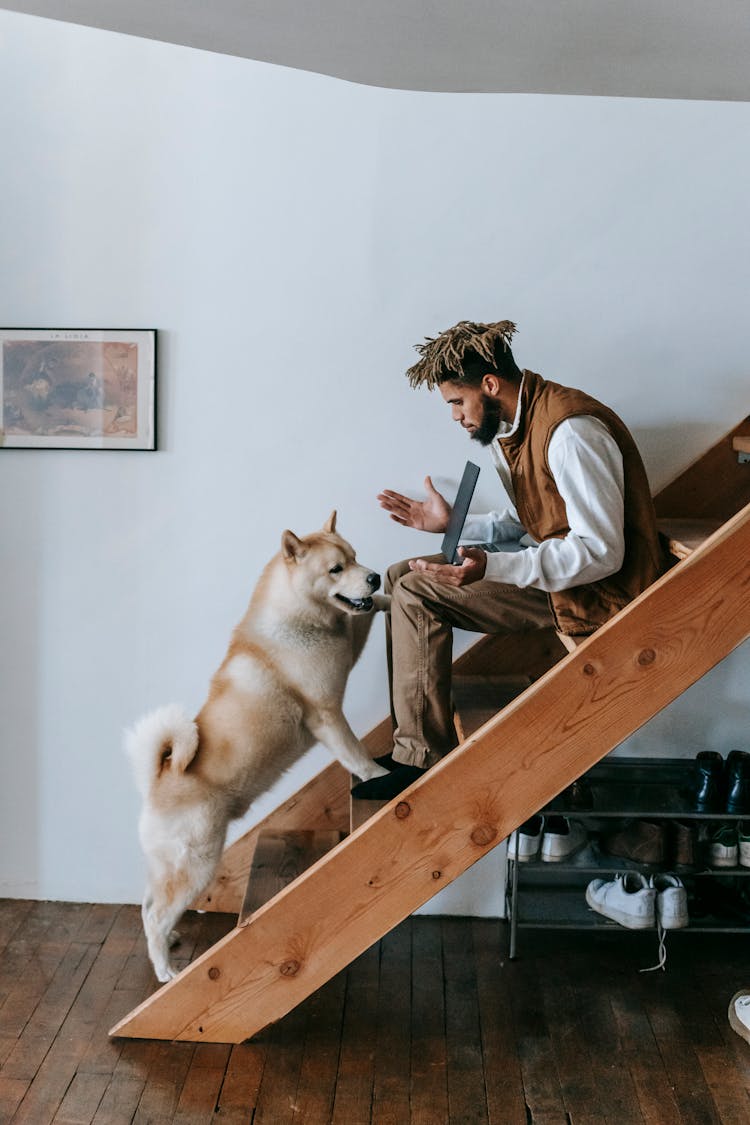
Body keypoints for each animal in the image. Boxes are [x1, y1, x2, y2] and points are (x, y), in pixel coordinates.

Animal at [123, 515, 391, 981]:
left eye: (355, 557)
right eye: (336, 568)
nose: (374, 576)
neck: (297, 617)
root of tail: (158, 779)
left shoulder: (345, 649)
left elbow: (364, 617)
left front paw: (394, 588)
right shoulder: (327, 714)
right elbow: (355, 753)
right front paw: (379, 775)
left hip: (172, 868)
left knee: (148, 905)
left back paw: (169, 943)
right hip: (196, 864)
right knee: (155, 914)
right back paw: (166, 970)